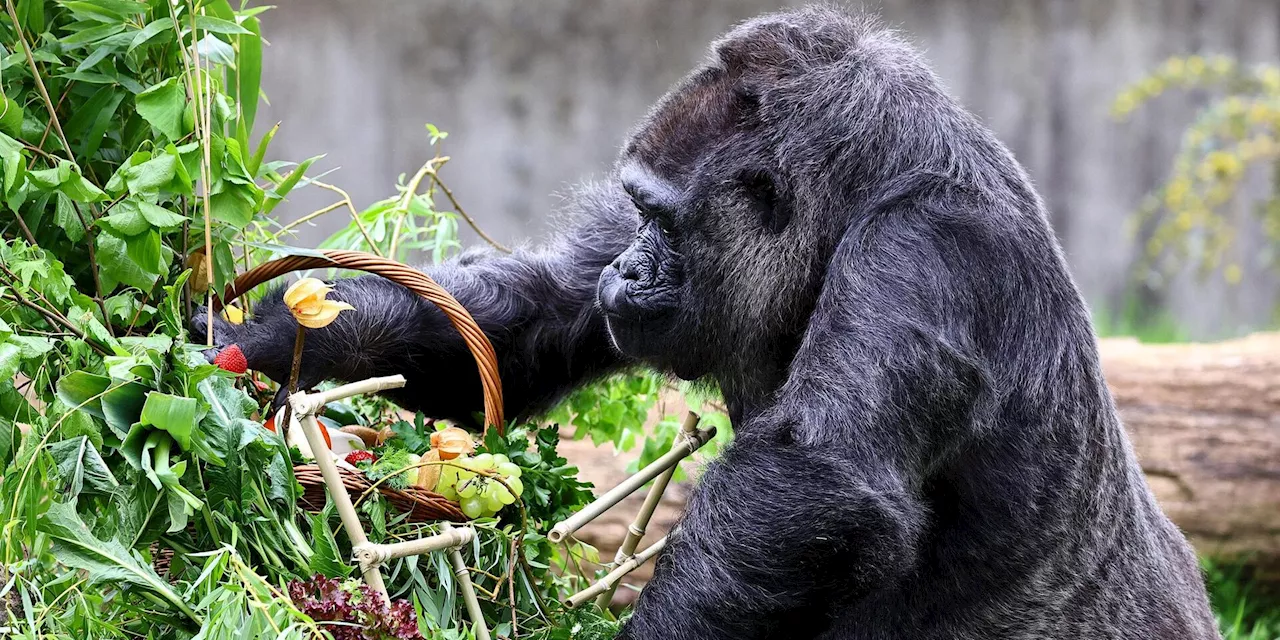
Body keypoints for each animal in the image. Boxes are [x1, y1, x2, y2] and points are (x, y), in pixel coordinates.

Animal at [192, 6, 1218, 640]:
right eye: (637, 214)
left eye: (663, 222)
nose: (628, 267)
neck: (867, 187)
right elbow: (529, 320)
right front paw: (264, 336)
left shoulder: (931, 252)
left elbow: (816, 486)